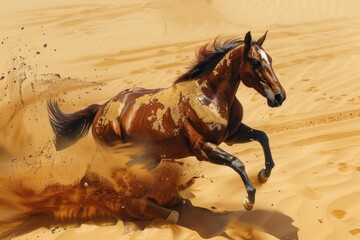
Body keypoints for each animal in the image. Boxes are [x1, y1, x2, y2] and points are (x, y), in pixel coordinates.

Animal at [47, 31, 286, 223]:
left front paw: (264, 174)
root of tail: (99, 110)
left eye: (271, 59)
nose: (279, 96)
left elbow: (262, 137)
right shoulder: (203, 148)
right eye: (255, 62)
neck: (209, 96)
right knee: (116, 187)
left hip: (146, 159)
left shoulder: (232, 135)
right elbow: (237, 163)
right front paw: (249, 199)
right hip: (119, 159)